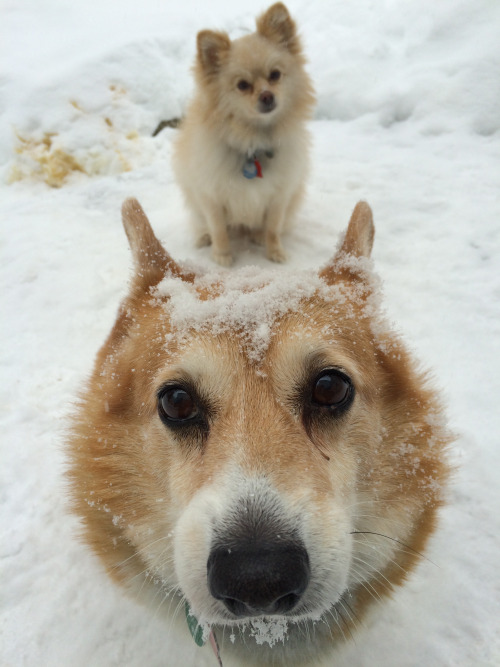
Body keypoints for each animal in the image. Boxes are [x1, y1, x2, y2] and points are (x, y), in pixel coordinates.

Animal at [172, 3, 312, 268]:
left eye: (275, 75)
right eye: (243, 85)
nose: (267, 96)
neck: (253, 139)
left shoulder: (280, 195)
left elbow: (273, 228)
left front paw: (274, 251)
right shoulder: (210, 195)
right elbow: (218, 228)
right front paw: (222, 255)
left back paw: (256, 235)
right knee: (202, 222)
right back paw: (203, 237)